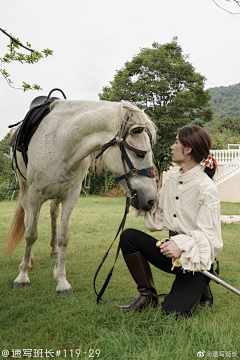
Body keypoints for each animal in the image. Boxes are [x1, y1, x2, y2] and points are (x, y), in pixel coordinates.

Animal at [4, 100, 158, 294]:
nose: (151, 200)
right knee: (27, 220)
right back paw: (28, 261)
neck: (60, 143)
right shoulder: (35, 195)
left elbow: (64, 237)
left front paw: (61, 280)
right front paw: (22, 277)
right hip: (25, 191)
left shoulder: (71, 195)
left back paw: (53, 251)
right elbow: (31, 234)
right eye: (140, 154)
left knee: (53, 213)